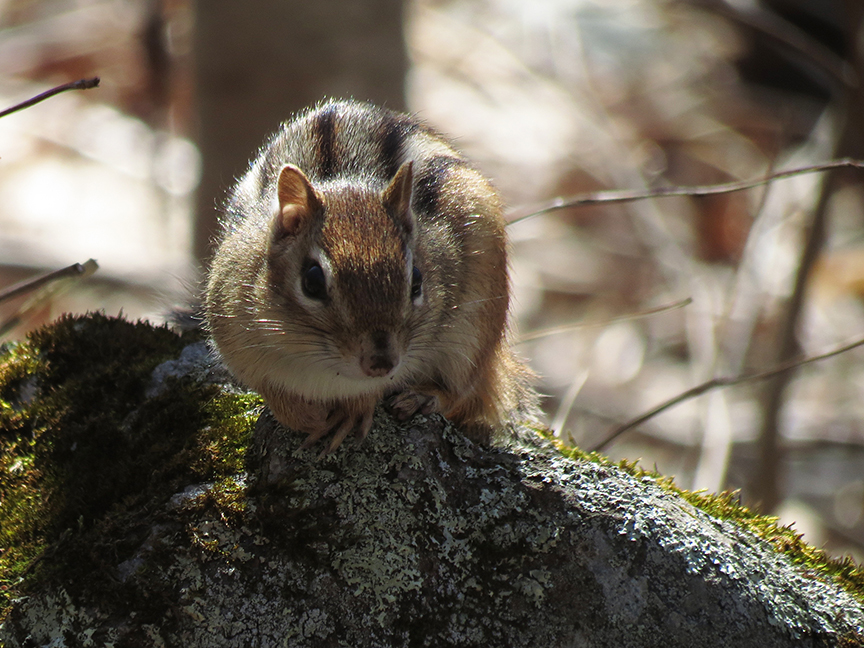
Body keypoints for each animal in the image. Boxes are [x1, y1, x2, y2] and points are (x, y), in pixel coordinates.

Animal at [204, 99, 538, 454]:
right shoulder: (234, 339)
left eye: (416, 281)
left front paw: (356, 409)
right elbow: (272, 392)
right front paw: (302, 416)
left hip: (477, 329)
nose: (381, 362)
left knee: (461, 392)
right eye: (312, 282)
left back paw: (423, 397)